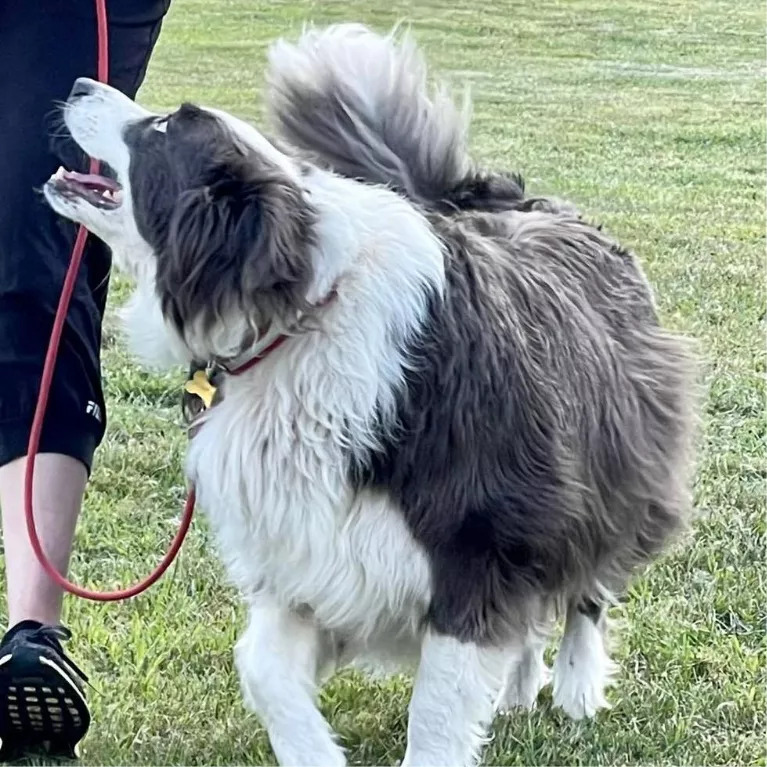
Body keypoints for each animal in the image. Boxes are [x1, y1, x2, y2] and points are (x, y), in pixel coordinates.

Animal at [45, 24, 700, 767]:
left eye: (162, 128)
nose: (78, 83)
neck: (295, 317)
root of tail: (509, 199)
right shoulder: (306, 551)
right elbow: (261, 666)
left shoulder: (477, 546)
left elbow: (436, 714)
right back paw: (519, 684)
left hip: (607, 464)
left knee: (589, 583)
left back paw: (576, 686)